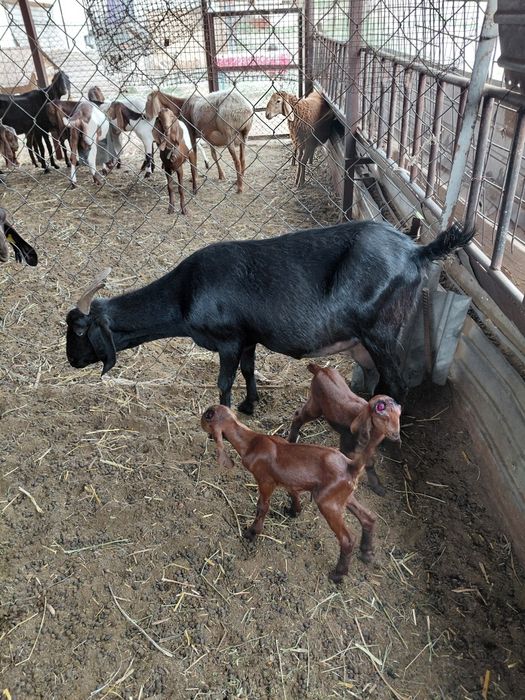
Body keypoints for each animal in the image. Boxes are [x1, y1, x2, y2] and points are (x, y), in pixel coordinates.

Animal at [65, 221, 474, 411]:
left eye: (80, 332)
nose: (71, 361)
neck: (186, 292)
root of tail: (417, 251)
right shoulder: (248, 338)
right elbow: (248, 371)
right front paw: (250, 405)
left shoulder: (229, 340)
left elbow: (224, 381)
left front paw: (223, 418)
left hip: (382, 333)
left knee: (397, 384)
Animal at [201, 405, 377, 582]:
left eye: (206, 417)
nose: (202, 419)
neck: (252, 442)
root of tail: (351, 466)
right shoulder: (287, 480)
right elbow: (293, 493)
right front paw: (294, 511)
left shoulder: (265, 481)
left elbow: (262, 506)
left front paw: (252, 533)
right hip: (344, 496)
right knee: (368, 517)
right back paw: (366, 553)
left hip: (328, 502)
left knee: (348, 539)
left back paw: (338, 574)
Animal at [289, 364, 401, 495]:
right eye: (380, 408)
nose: (395, 435)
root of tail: (321, 369)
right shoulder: (346, 443)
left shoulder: (369, 447)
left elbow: (369, 463)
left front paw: (378, 487)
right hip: (316, 405)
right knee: (298, 416)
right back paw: (291, 441)